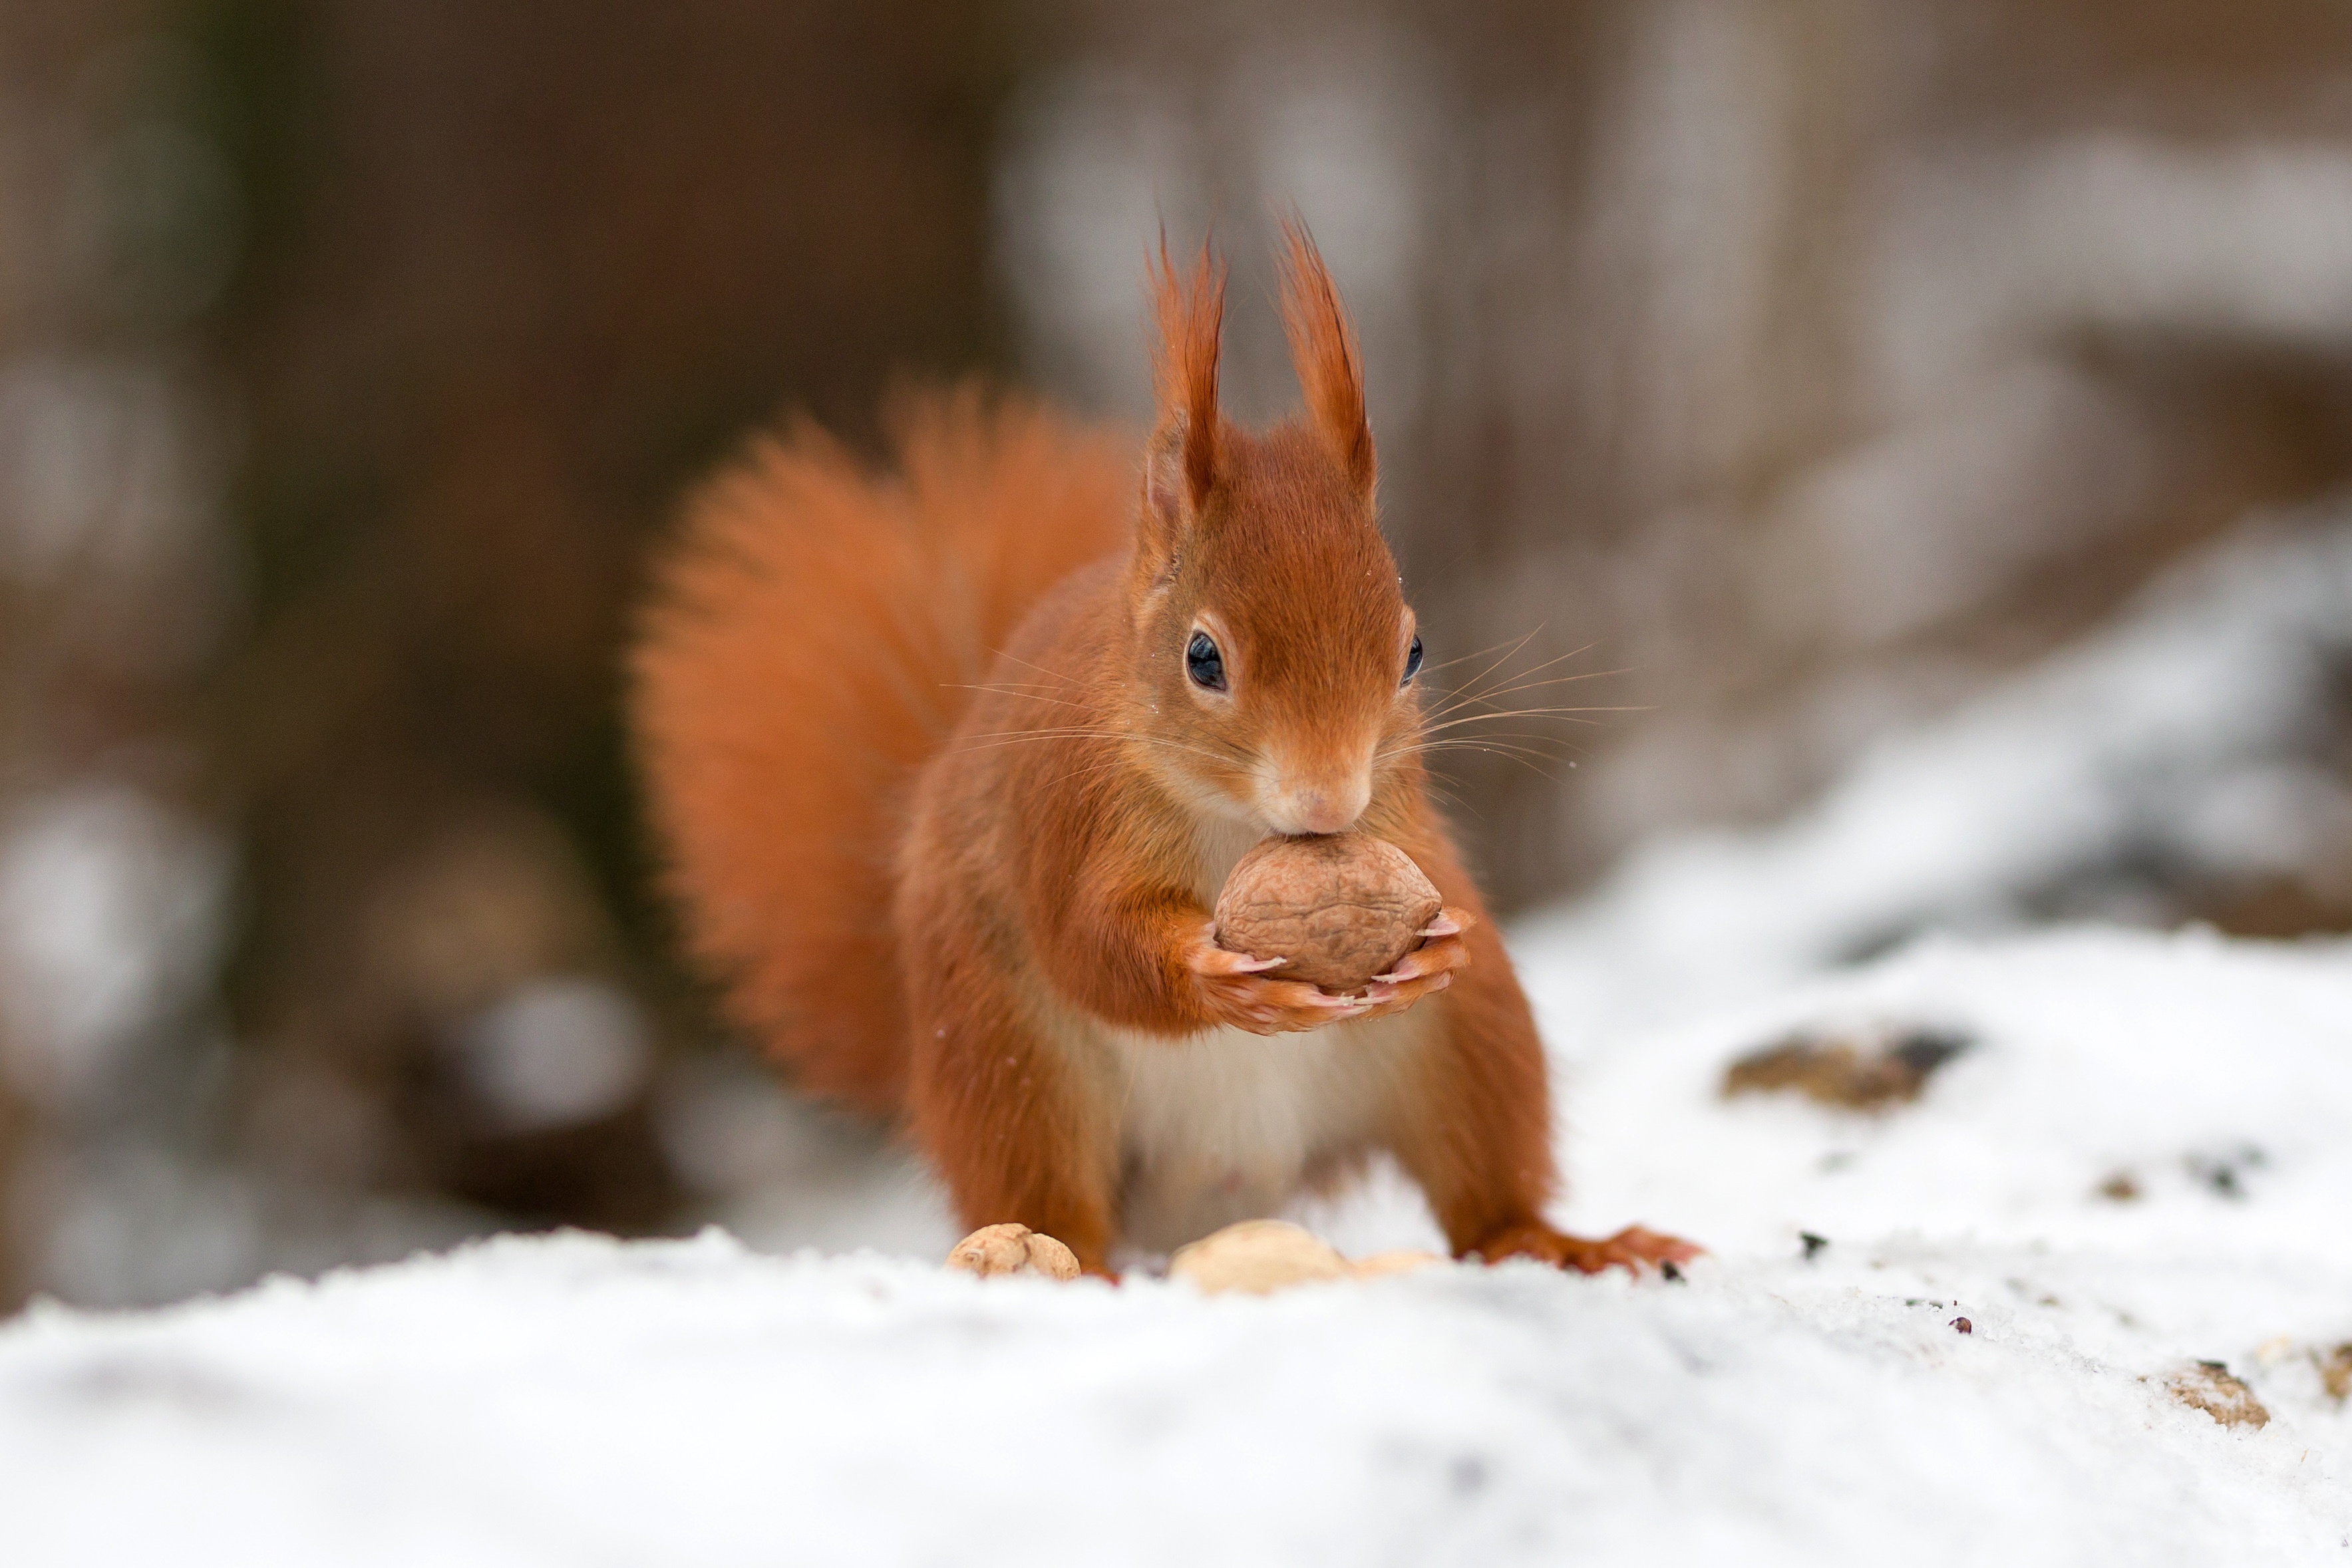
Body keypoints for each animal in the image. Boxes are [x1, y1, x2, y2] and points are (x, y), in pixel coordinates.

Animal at [625, 230, 1693, 1279]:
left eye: (1415, 652)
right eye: (1202, 656)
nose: (1326, 803)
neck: (1237, 823)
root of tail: (1215, 1189)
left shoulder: (1396, 813)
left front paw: (1438, 940)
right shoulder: (1066, 811)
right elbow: (1087, 939)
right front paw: (1211, 972)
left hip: (1472, 1047)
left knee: (1487, 1190)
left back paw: (1559, 1242)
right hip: (1009, 1066)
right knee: (1046, 1185)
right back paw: (1060, 1260)